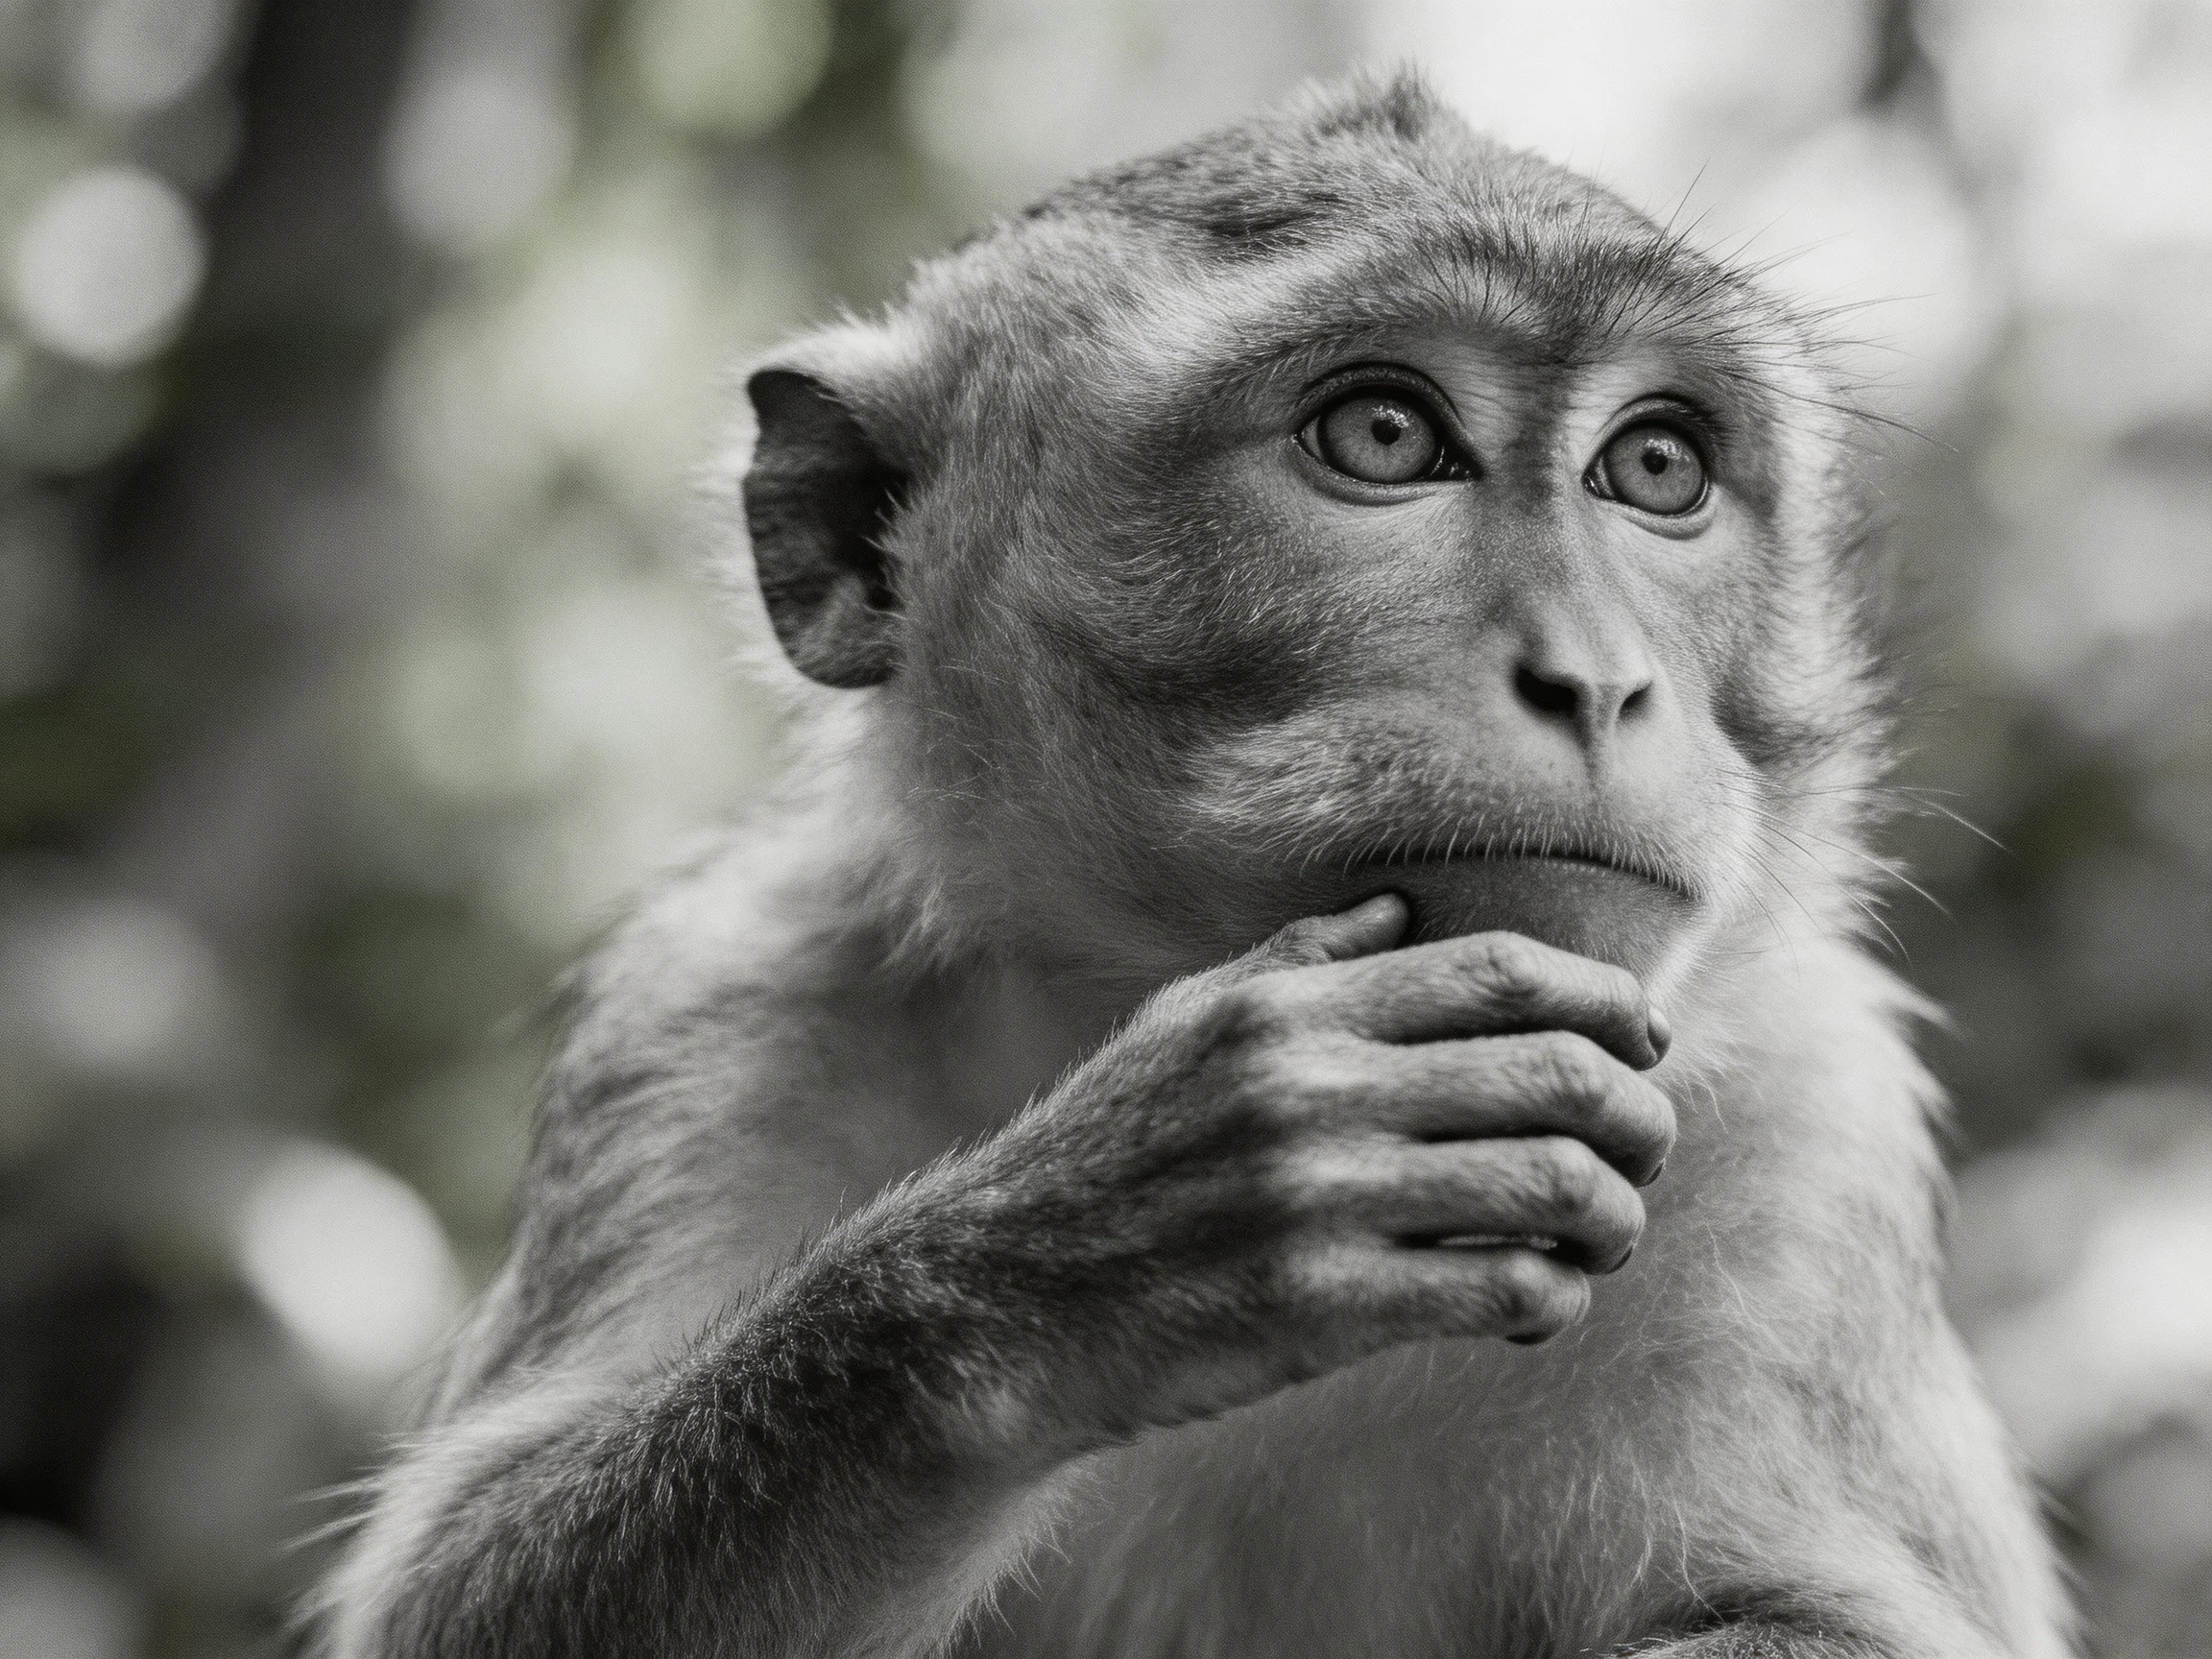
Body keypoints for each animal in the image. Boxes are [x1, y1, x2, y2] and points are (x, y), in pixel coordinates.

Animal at [317, 73, 2073, 1659]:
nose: (1596, 682)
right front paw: (1104, 1227)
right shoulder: (711, 1011)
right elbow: (458, 1591)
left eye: (1654, 469)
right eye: (1382, 432)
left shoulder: (1804, 1133)